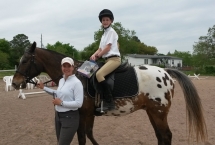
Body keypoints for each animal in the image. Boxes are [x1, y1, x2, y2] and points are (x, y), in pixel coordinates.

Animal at [11, 41, 207, 144]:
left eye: (26, 60)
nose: (15, 83)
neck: (76, 75)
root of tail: (166, 72)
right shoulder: (89, 114)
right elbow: (89, 133)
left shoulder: (83, 113)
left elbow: (82, 136)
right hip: (152, 112)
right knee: (161, 135)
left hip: (158, 112)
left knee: (166, 135)